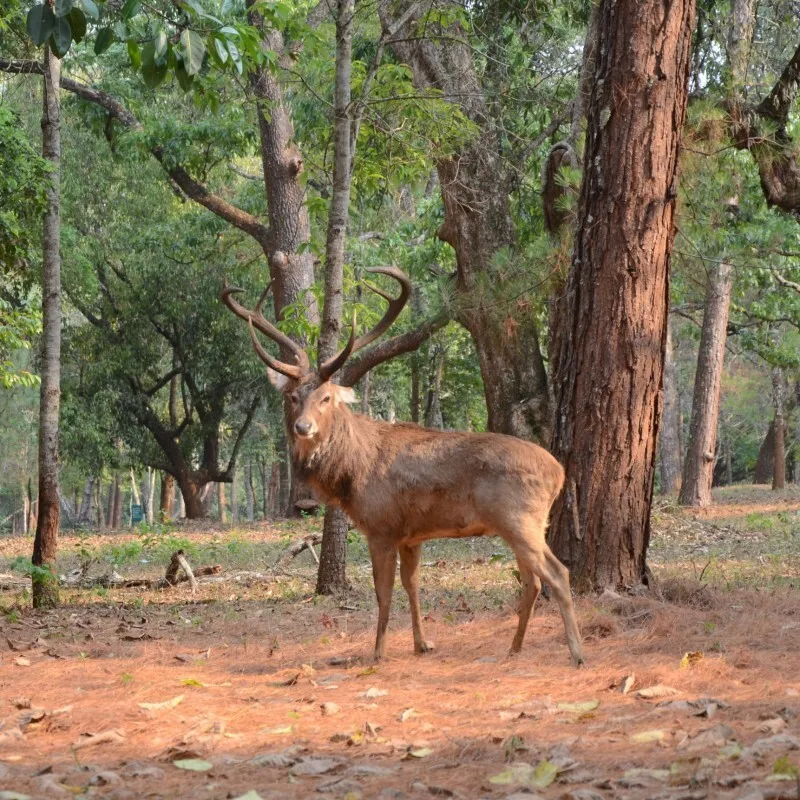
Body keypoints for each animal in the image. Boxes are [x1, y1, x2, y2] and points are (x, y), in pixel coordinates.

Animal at [222, 266, 584, 664]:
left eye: (326, 397)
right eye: (292, 396)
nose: (304, 427)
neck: (352, 473)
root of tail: (559, 473)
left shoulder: (382, 527)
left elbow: (384, 592)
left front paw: (377, 652)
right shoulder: (413, 535)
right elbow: (413, 585)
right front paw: (422, 643)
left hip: (519, 518)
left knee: (557, 573)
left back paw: (576, 652)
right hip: (523, 524)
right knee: (533, 580)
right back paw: (514, 648)